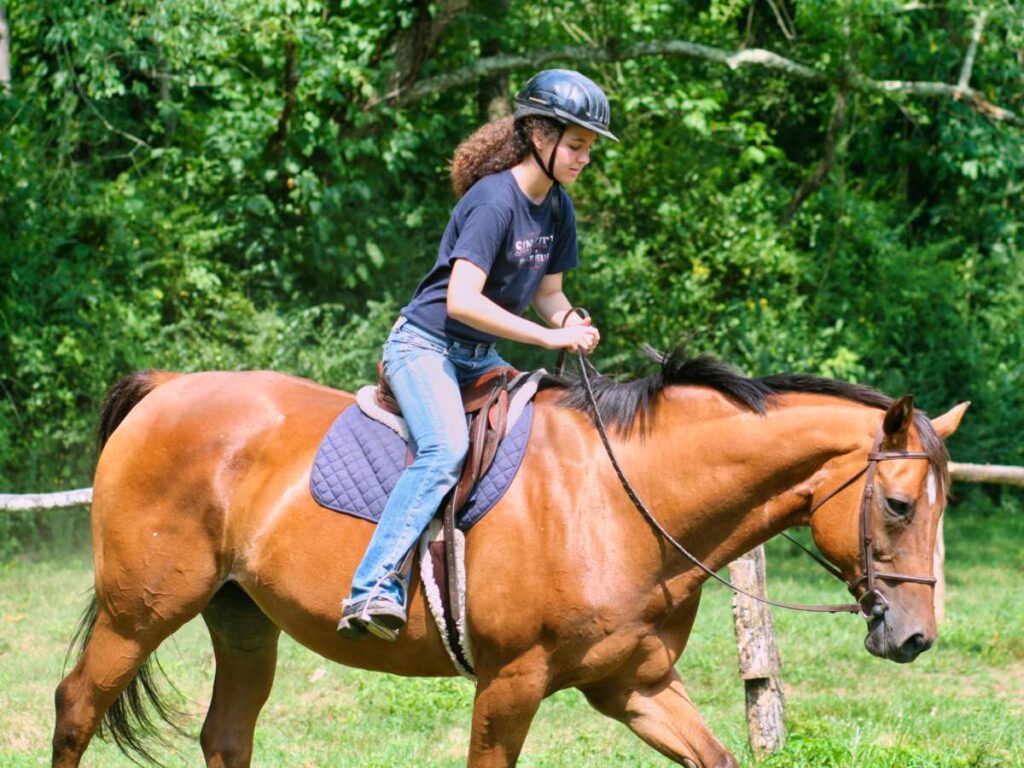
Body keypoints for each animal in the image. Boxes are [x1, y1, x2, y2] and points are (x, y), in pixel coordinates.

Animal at [54, 356, 966, 768]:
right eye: (898, 505)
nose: (916, 637)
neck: (623, 502)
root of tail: (168, 386)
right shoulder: (511, 685)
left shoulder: (633, 685)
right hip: (141, 614)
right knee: (77, 708)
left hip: (242, 621)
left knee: (226, 733)